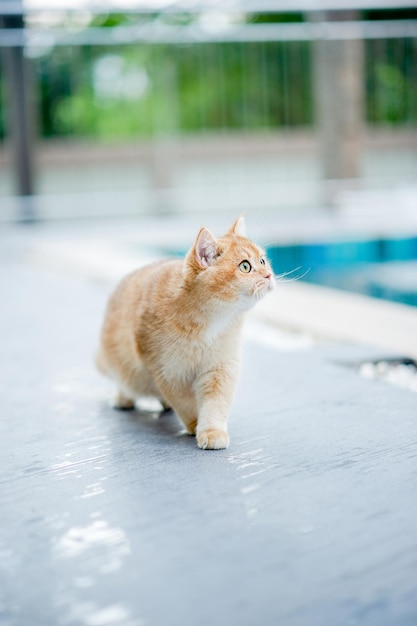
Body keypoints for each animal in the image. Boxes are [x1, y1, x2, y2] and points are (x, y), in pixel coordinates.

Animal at [96, 217, 272, 446]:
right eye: (245, 266)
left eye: (262, 261)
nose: (269, 275)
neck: (209, 323)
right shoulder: (167, 372)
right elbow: (185, 404)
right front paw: (194, 425)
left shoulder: (220, 368)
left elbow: (216, 403)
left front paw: (212, 430)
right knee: (125, 383)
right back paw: (123, 398)